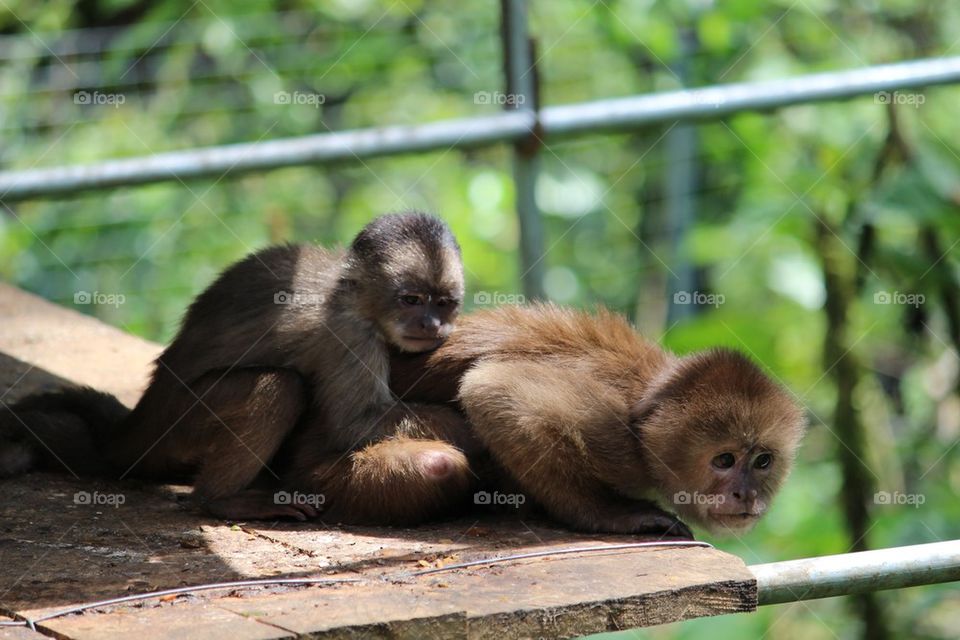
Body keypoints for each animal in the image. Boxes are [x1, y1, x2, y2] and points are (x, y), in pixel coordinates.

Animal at [0, 212, 477, 523]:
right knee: (280, 387)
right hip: (183, 422)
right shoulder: (349, 333)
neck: (353, 295)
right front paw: (465, 428)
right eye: (411, 300)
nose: (431, 324)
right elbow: (354, 423)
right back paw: (218, 500)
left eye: (443, 302)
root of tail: (143, 419)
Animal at [390, 303, 807, 537]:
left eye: (763, 461)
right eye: (724, 460)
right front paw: (610, 516)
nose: (746, 494)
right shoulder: (611, 431)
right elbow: (489, 388)